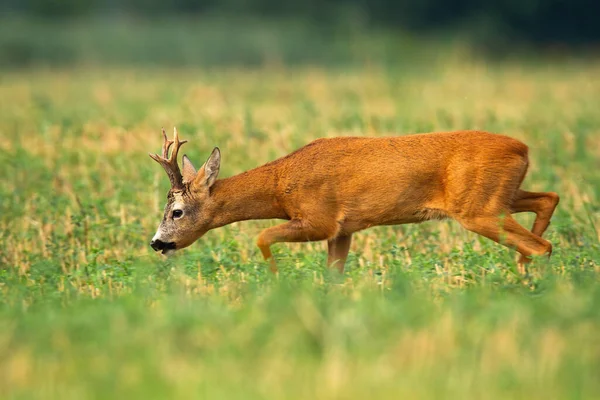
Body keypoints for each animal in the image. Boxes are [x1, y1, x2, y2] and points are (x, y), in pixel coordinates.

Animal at [149, 126, 556, 274]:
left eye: (176, 212)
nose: (156, 243)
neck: (282, 183)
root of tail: (523, 148)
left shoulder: (320, 219)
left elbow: (261, 236)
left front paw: (276, 281)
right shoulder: (342, 230)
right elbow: (334, 275)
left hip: (478, 209)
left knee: (543, 245)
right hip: (499, 197)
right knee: (548, 200)